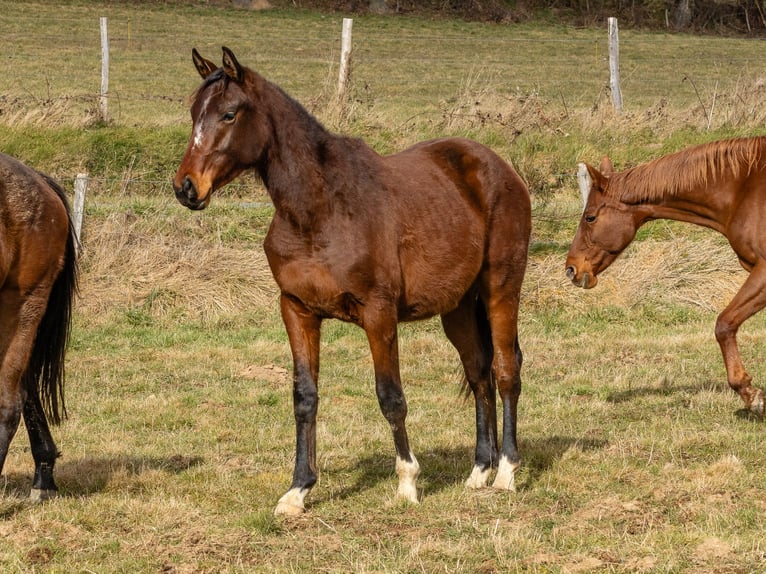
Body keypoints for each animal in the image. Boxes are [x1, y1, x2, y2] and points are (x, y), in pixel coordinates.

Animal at [174, 48, 536, 516]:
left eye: (229, 114)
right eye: (193, 112)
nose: (186, 187)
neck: (319, 211)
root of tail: (500, 169)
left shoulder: (378, 315)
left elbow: (390, 396)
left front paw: (407, 483)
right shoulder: (297, 310)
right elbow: (304, 398)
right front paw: (298, 489)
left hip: (501, 290)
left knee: (506, 370)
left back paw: (506, 472)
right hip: (457, 308)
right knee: (479, 373)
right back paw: (479, 471)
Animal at [568, 138, 766, 418]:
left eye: (590, 217)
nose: (571, 268)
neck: (745, 189)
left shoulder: (763, 271)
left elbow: (724, 324)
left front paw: (750, 394)